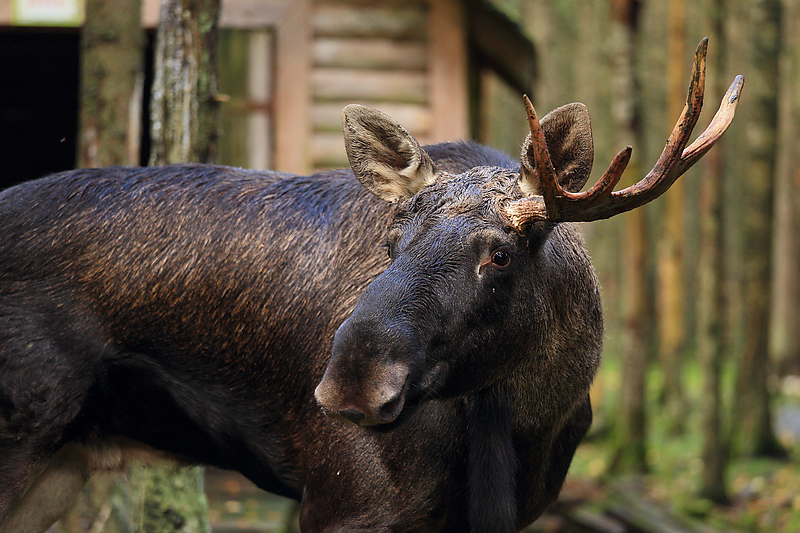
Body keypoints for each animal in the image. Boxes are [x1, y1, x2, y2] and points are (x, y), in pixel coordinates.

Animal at [0, 40, 740, 532]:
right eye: (390, 242)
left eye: (500, 254)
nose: (352, 380)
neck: (519, 424)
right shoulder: (345, 502)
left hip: (60, 464)